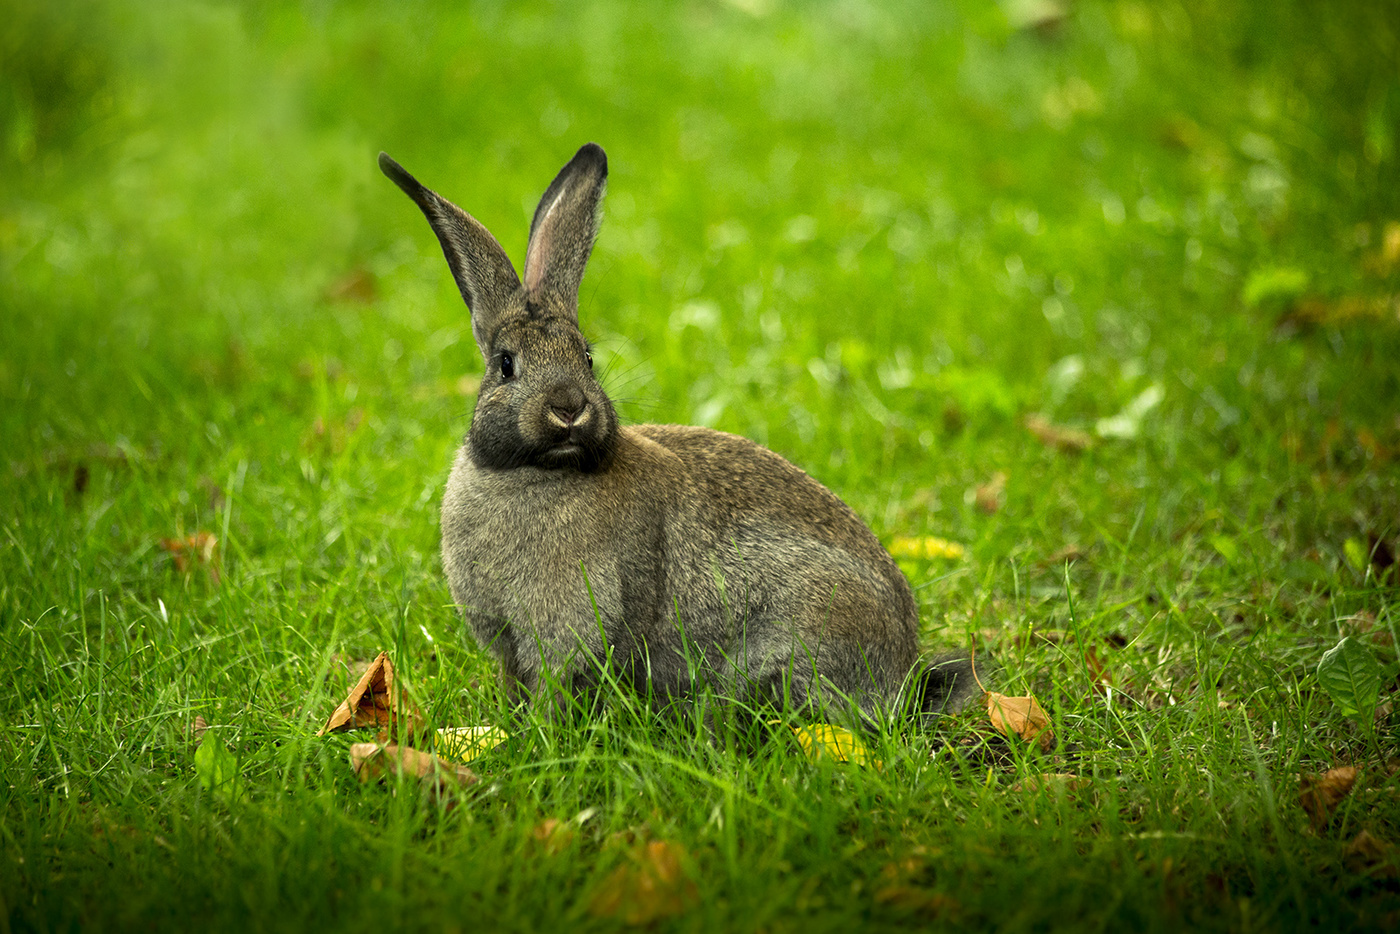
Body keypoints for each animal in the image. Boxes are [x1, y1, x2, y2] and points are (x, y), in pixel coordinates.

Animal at [378, 142, 980, 728]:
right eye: (506, 365)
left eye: (588, 358)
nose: (569, 407)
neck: (537, 471)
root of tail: (900, 676)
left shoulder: (571, 632)